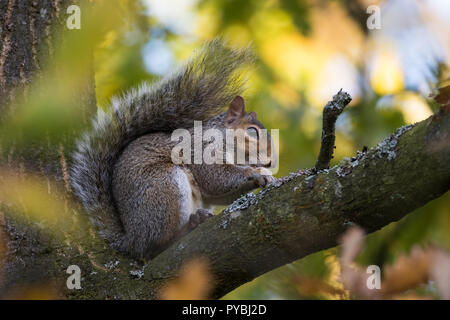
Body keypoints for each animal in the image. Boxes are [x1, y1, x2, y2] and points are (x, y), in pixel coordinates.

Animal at [70, 40, 276, 260]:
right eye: (252, 131)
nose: (271, 161)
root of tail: (131, 240)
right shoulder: (201, 149)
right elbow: (216, 177)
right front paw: (257, 172)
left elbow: (216, 192)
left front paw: (262, 178)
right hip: (164, 186)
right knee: (155, 246)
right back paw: (187, 228)